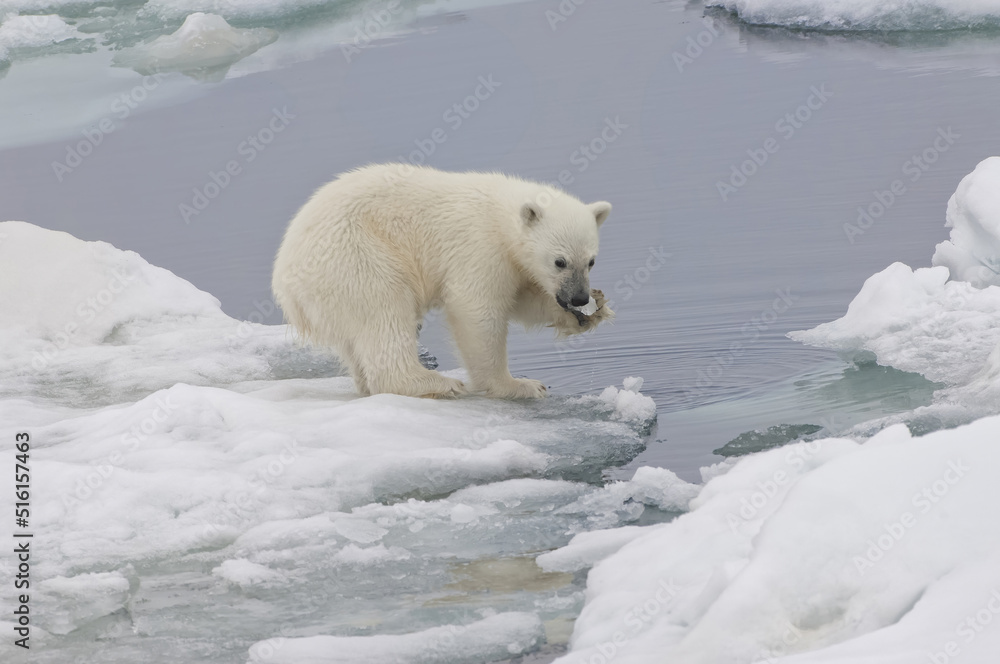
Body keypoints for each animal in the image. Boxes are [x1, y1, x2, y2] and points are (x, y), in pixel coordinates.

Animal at [271, 163, 614, 399]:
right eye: (560, 261)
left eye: (591, 261)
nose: (579, 298)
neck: (500, 215)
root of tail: (285, 283)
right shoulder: (479, 247)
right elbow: (477, 309)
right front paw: (520, 385)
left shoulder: (511, 262)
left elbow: (522, 298)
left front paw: (590, 313)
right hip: (355, 258)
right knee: (384, 313)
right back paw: (435, 382)